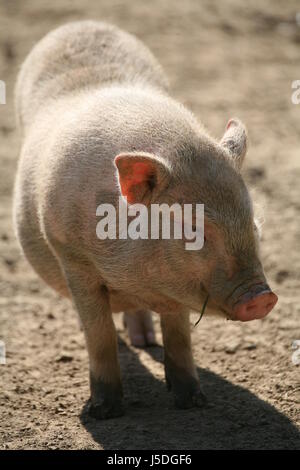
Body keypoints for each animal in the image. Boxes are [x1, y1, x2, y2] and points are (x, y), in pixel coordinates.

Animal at [12, 21, 278, 418]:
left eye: (254, 224)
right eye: (193, 228)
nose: (263, 296)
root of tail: (81, 23)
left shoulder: (179, 288)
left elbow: (180, 336)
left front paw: (193, 402)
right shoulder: (72, 256)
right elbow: (100, 335)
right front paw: (104, 412)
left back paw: (146, 340)